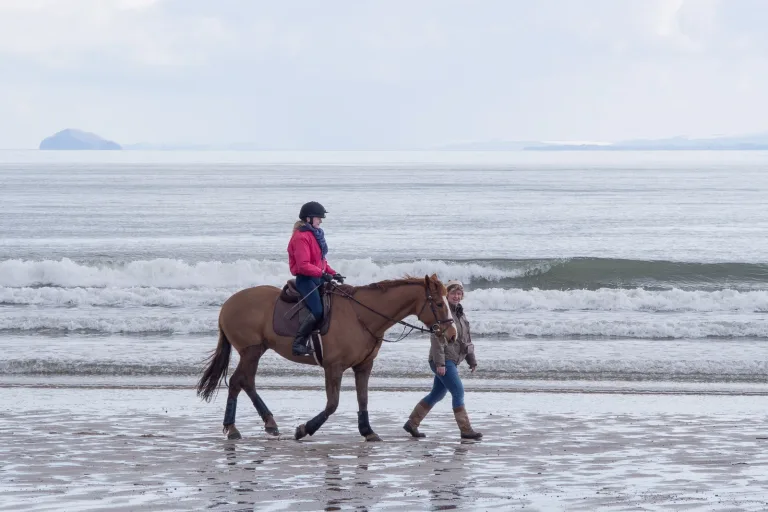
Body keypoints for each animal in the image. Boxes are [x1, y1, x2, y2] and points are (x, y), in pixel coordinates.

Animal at [196, 274, 458, 441]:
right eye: (437, 303)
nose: (452, 334)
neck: (361, 315)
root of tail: (228, 303)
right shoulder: (334, 367)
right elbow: (333, 404)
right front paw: (304, 429)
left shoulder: (364, 366)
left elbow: (363, 399)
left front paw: (367, 431)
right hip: (250, 351)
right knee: (238, 382)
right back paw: (232, 428)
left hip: (256, 351)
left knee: (245, 382)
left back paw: (268, 423)